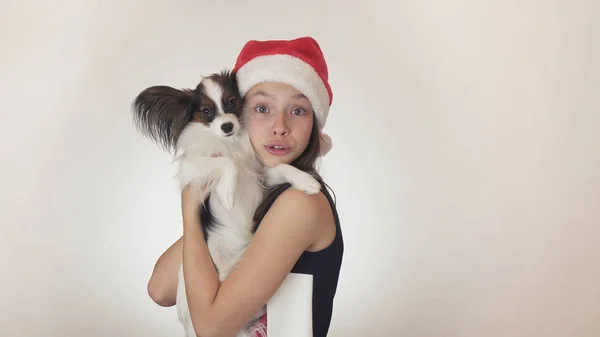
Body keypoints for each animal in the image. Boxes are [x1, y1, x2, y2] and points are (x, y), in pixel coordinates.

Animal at [129, 71, 322, 336]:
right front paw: (228, 192)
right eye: (206, 111)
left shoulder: (259, 175)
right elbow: (226, 163)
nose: (227, 126)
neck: (230, 145)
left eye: (232, 102)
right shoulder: (191, 171)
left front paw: (306, 182)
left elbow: (282, 166)